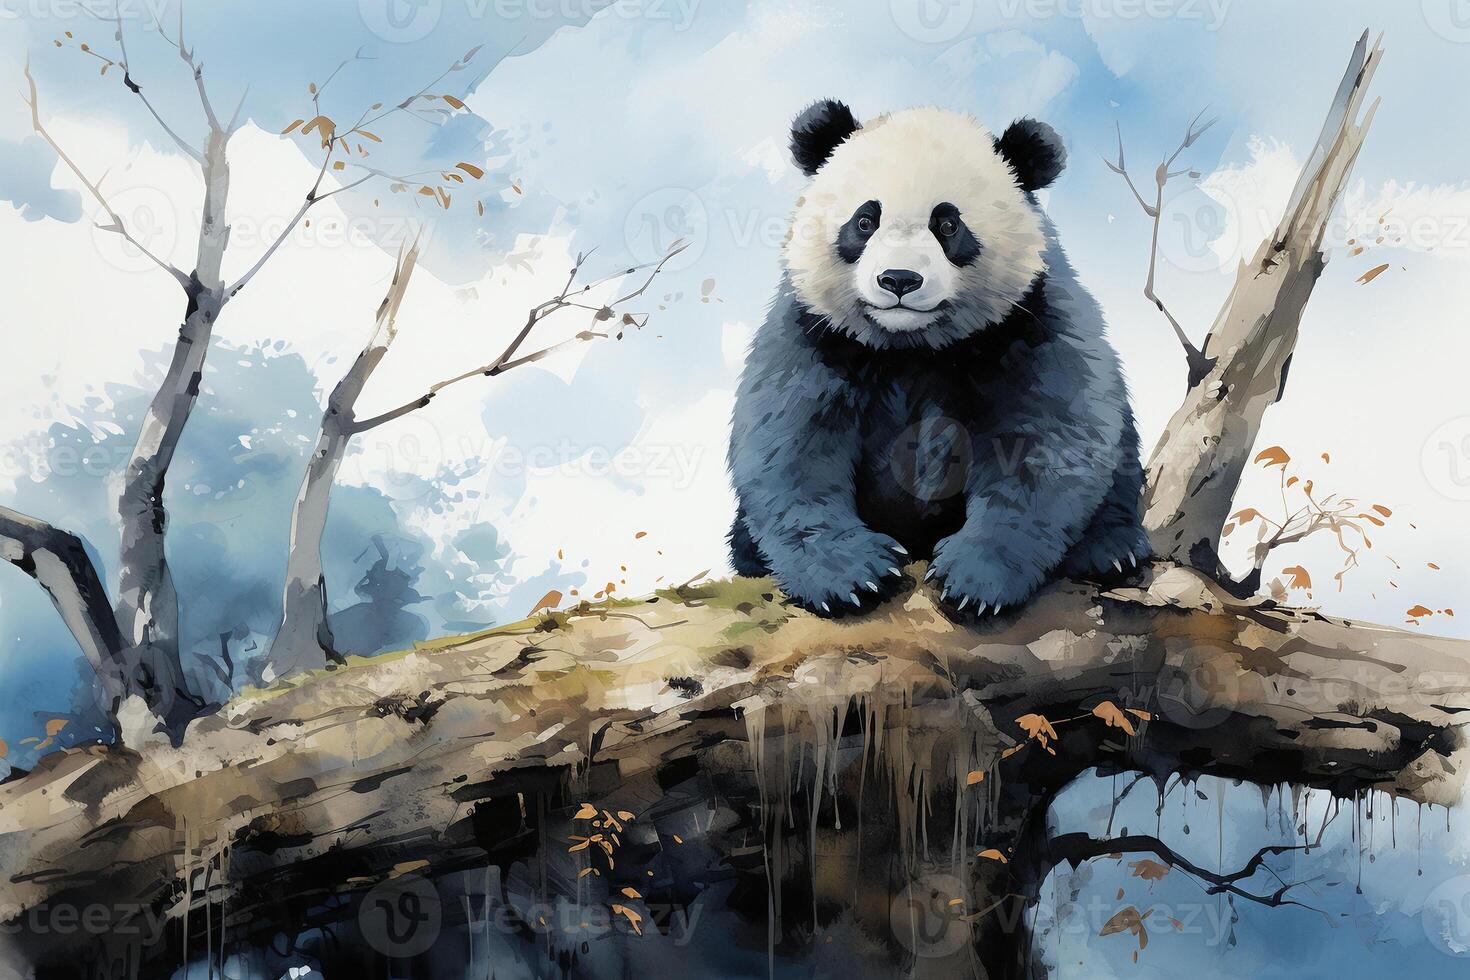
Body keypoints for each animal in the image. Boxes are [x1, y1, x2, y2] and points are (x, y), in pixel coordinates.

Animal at [727, 100, 1149, 619]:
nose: (899, 279)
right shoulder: (815, 332)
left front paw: (975, 578)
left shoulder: (1032, 321)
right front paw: (854, 576)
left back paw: (1111, 550)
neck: (913, 346)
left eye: (947, 225)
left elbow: (1043, 444)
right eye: (865, 221)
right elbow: (791, 445)